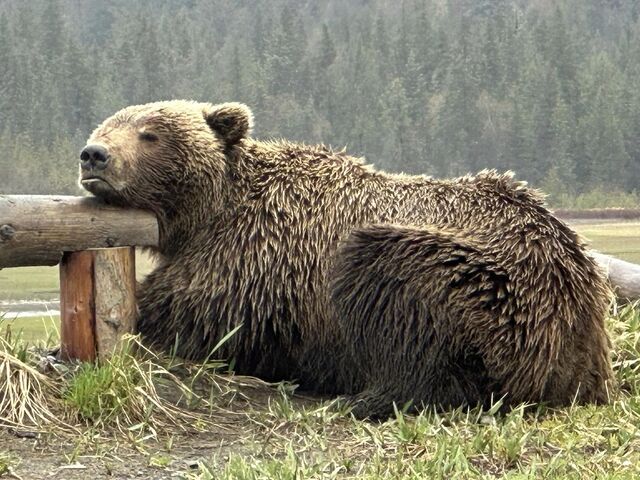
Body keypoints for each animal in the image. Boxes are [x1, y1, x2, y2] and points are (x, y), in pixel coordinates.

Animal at [80, 100, 616, 416]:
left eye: (150, 132)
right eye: (106, 124)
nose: (94, 154)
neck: (205, 213)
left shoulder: (256, 258)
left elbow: (195, 314)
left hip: (481, 282)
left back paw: (364, 397)